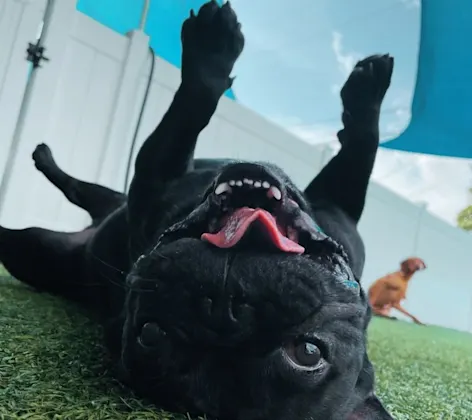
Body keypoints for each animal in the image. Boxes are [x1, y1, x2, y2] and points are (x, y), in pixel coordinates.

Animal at [0, 1, 394, 418]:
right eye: (151, 332)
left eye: (308, 351)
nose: (224, 304)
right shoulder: (340, 210)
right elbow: (362, 152)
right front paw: (368, 93)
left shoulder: (153, 179)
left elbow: (190, 108)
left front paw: (213, 47)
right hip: (107, 200)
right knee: (81, 189)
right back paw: (44, 156)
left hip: (34, 247)